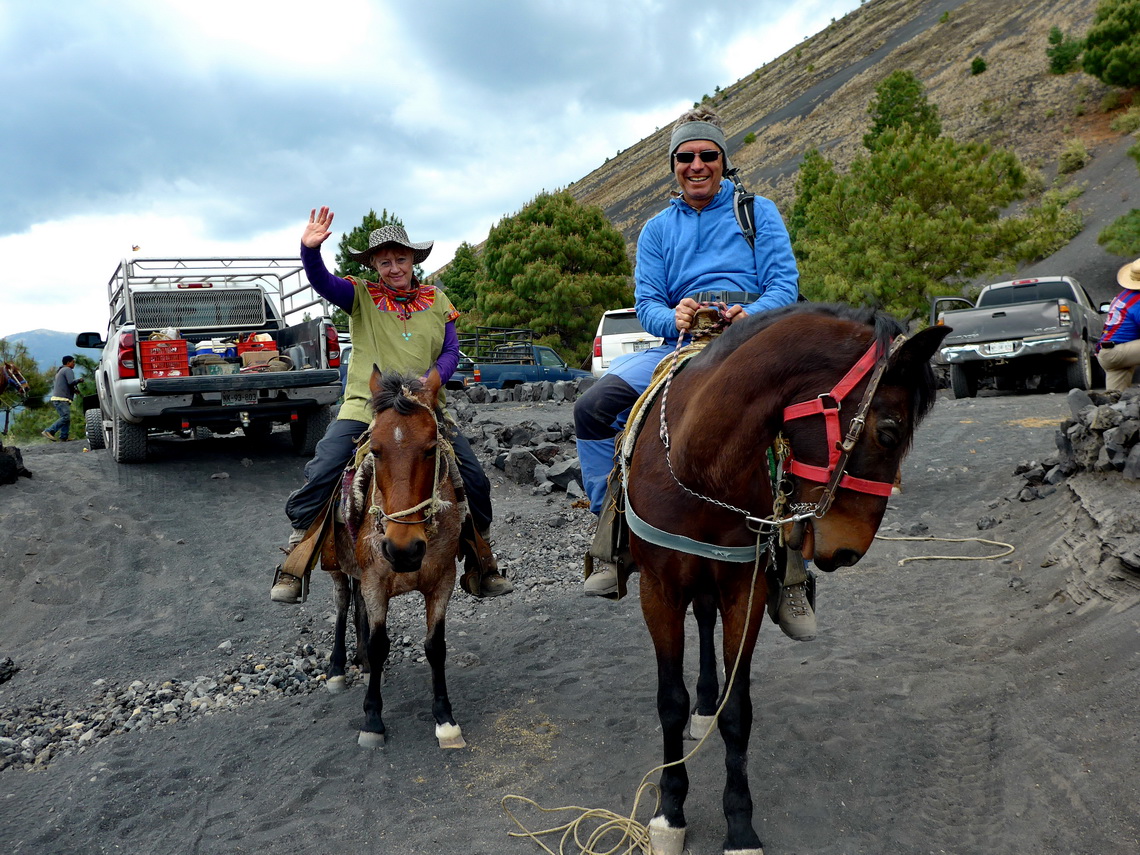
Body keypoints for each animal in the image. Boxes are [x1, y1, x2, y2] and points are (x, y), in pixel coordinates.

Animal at [319, 369, 465, 747]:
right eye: (376, 450)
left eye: (430, 449)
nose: (403, 549)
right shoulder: (375, 581)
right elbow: (379, 643)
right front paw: (372, 719)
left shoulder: (442, 580)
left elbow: (435, 645)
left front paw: (445, 718)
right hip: (336, 565)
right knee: (343, 603)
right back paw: (337, 668)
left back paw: (361, 661)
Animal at [629, 303, 948, 855]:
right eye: (888, 432)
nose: (849, 550)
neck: (700, 466)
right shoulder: (658, 589)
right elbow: (669, 703)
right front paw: (669, 811)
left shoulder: (746, 587)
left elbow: (738, 711)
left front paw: (739, 825)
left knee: (707, 621)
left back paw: (707, 703)